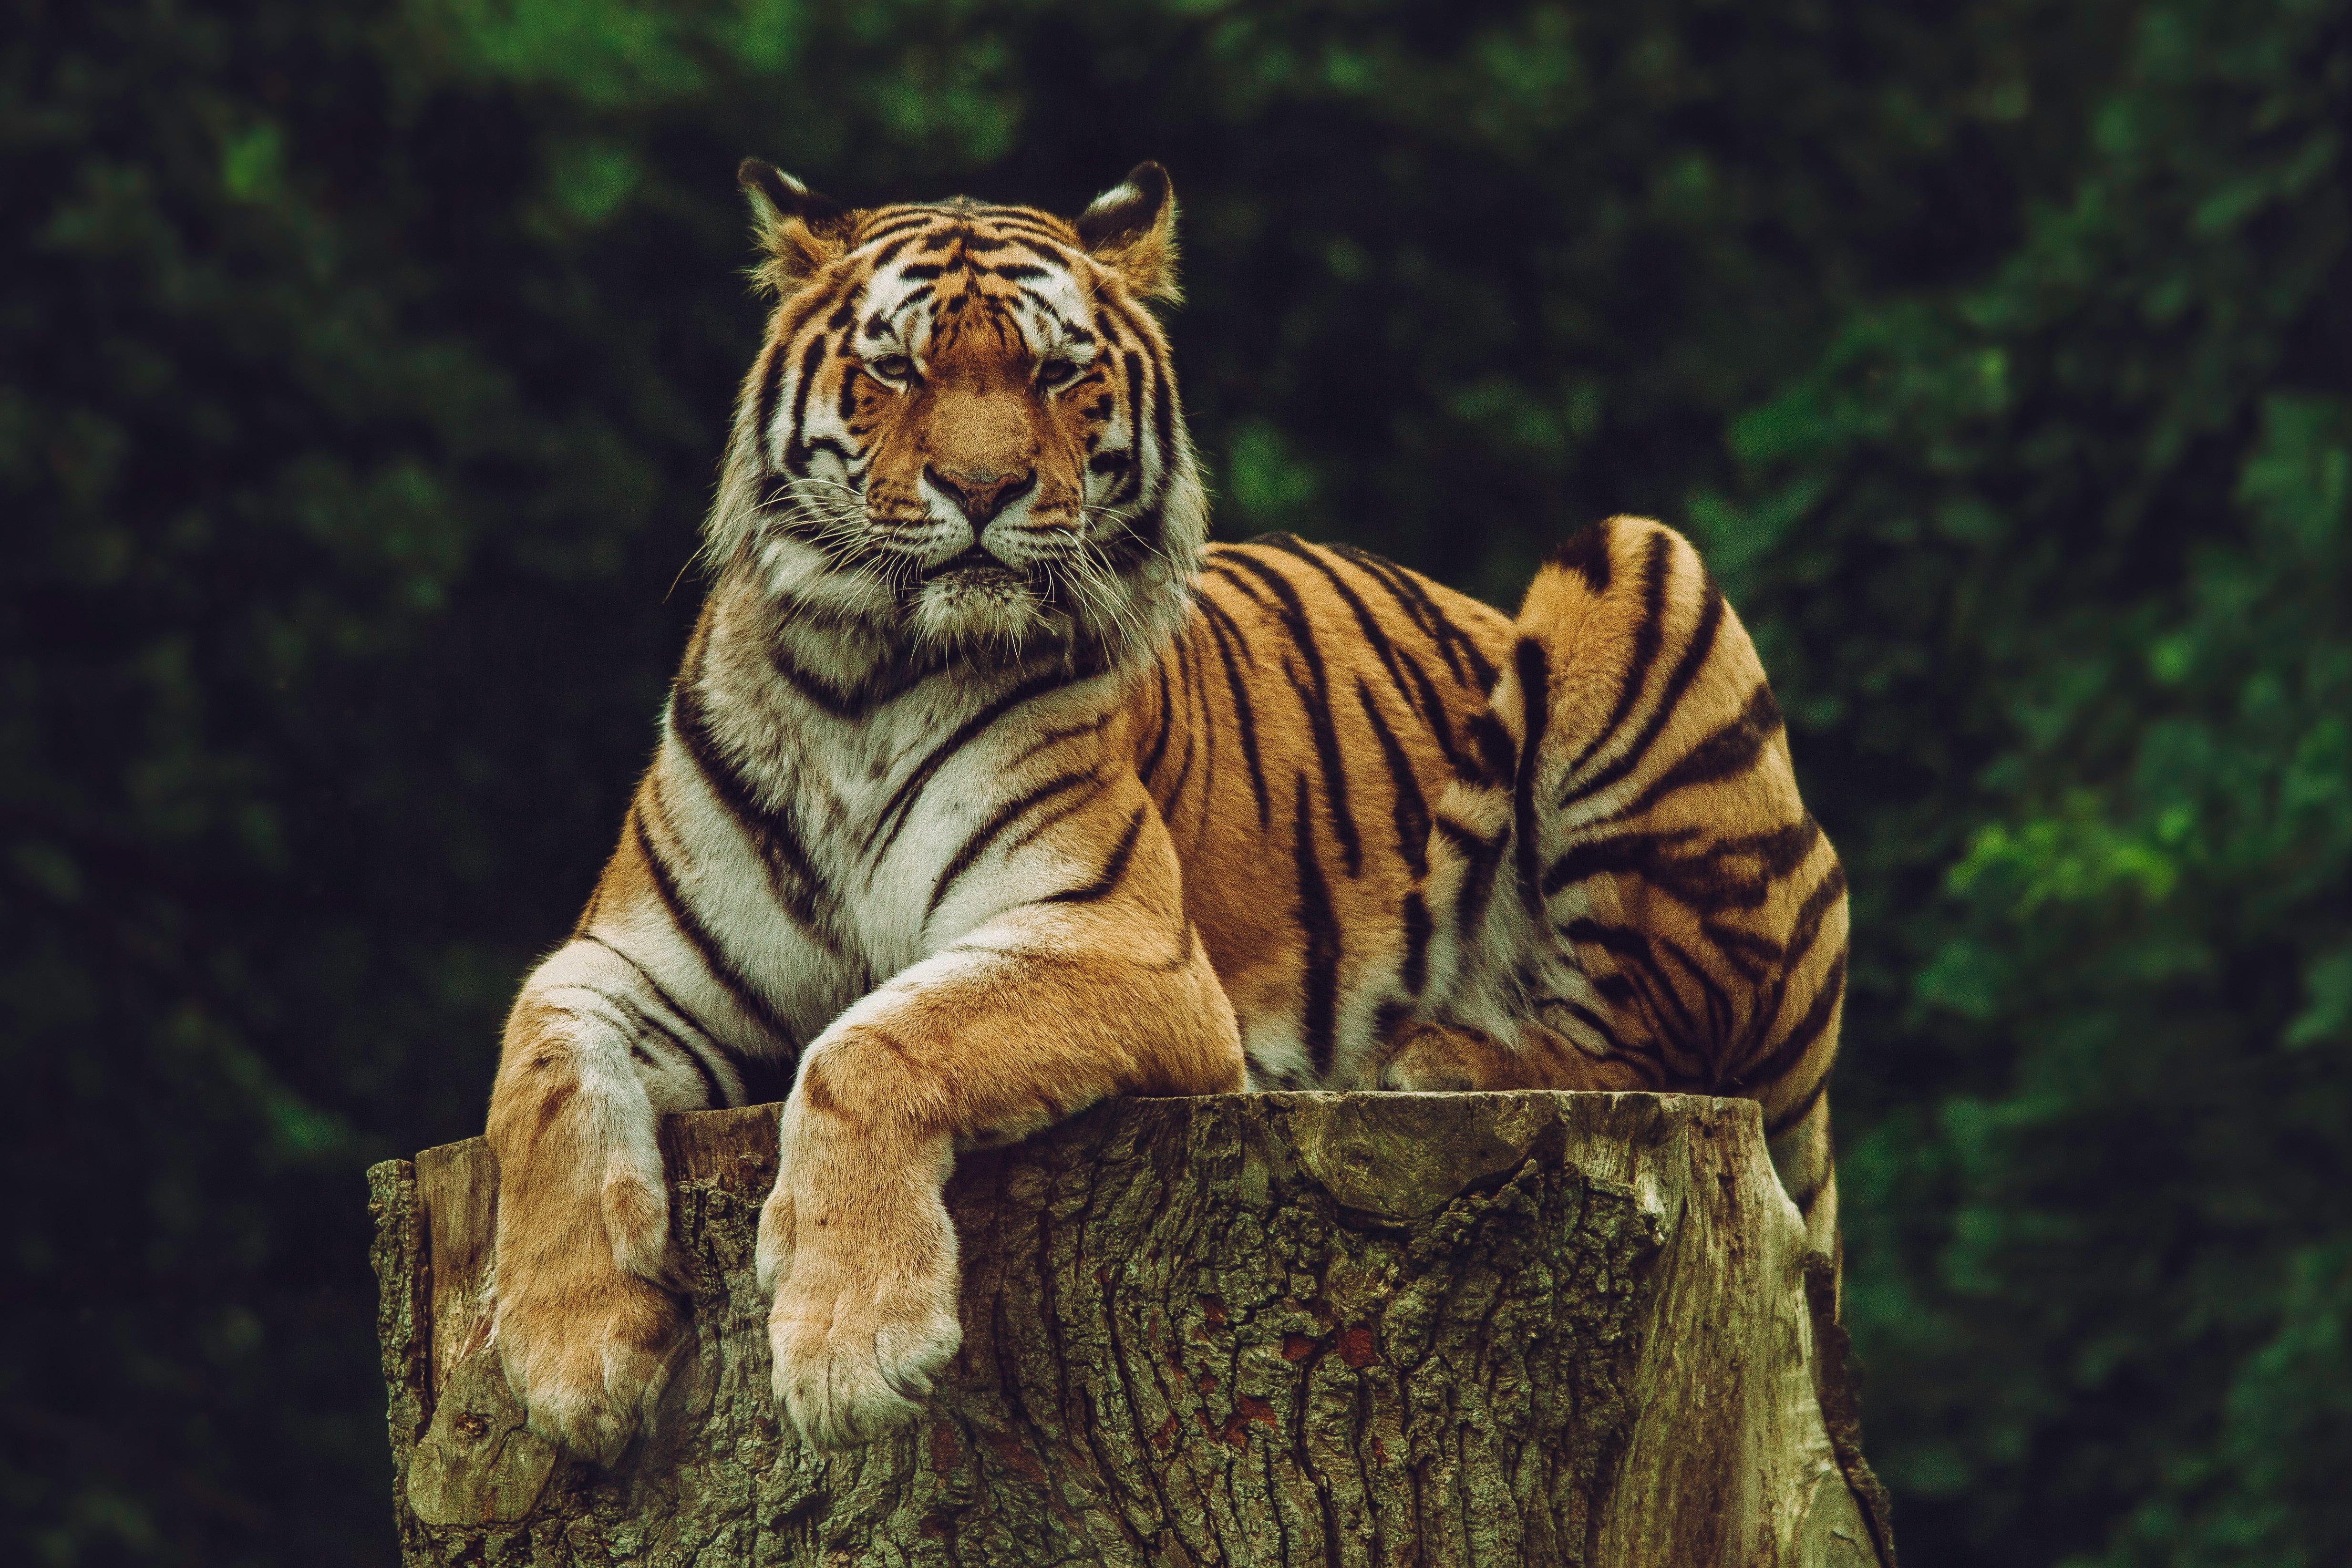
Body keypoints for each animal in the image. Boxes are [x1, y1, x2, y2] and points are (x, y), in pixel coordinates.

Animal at [484, 159, 1849, 1462]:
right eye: (897, 367)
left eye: (1057, 370)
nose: (981, 487)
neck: (860, 681)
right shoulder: (630, 959)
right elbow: (539, 1080)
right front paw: (572, 1358)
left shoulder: (1117, 939)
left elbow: (869, 1044)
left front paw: (850, 1347)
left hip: (1639, 564)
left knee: (1667, 1043)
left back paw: (1439, 1054)